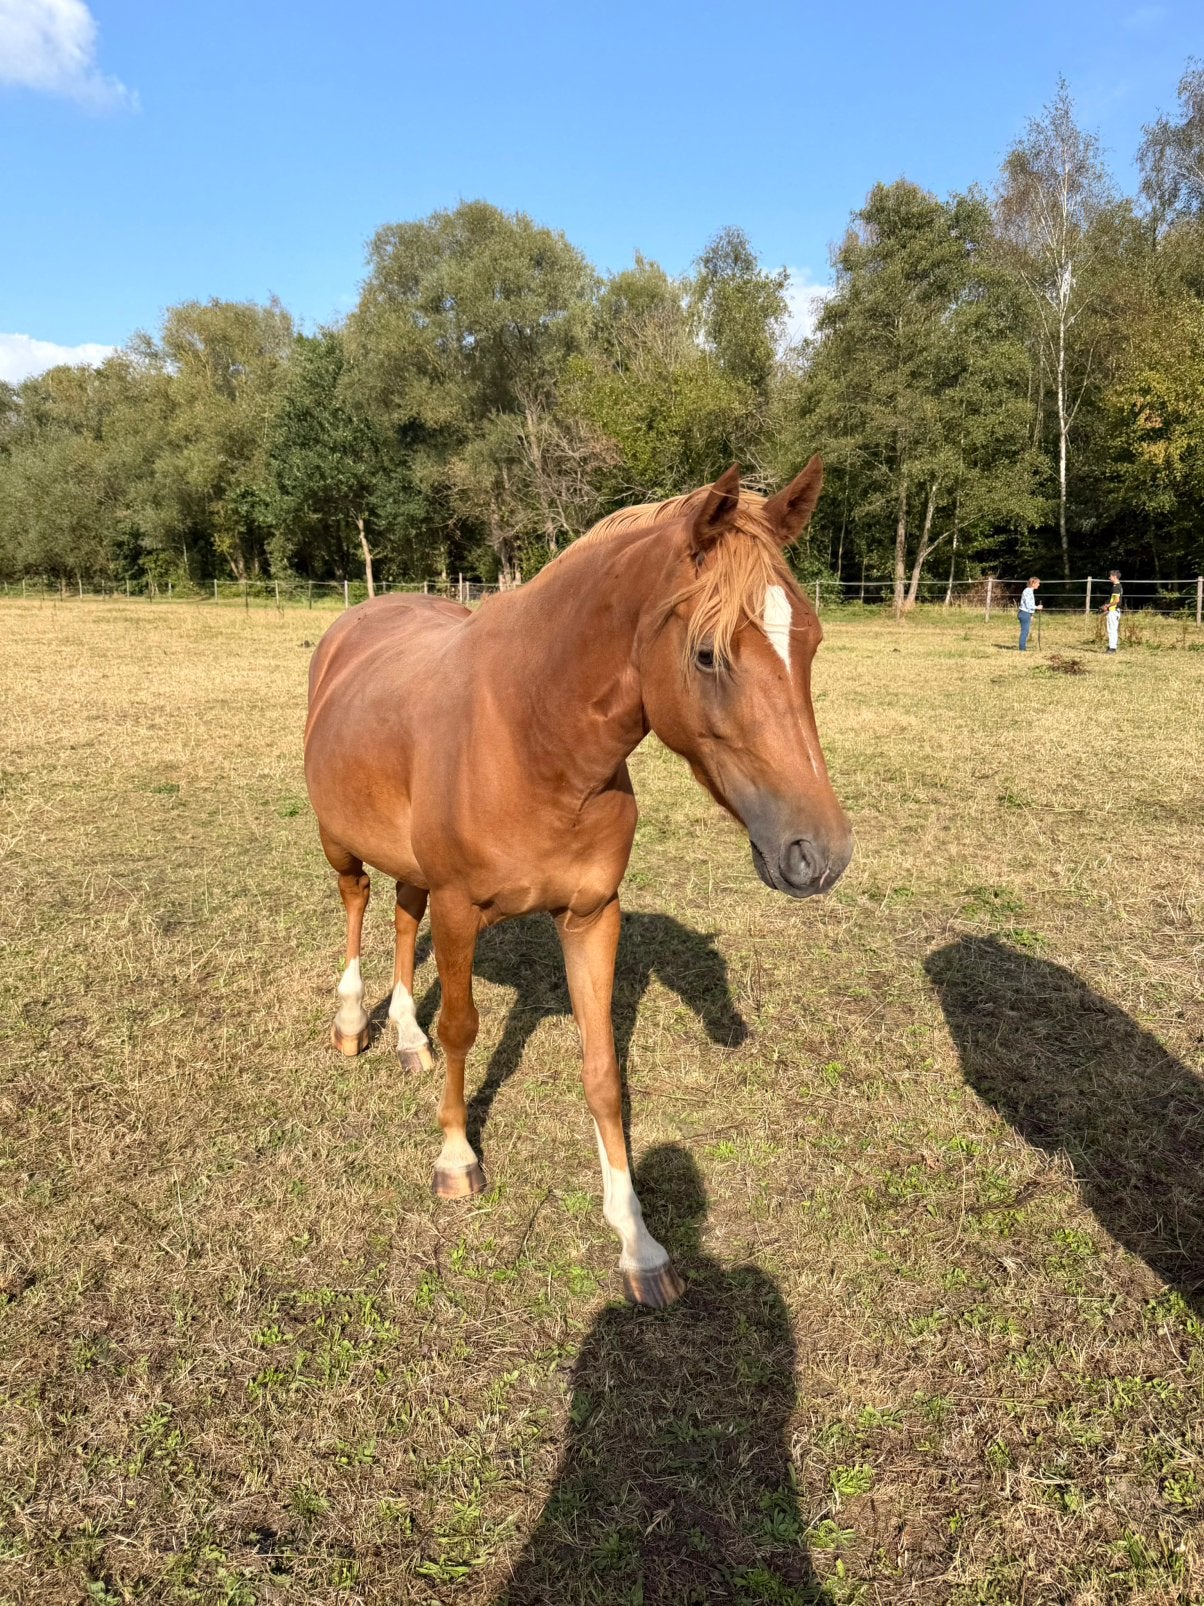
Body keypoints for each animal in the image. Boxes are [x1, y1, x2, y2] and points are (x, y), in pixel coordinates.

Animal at [303, 459, 852, 1307]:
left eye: (813, 642)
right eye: (706, 655)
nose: (818, 854)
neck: (532, 737)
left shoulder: (592, 916)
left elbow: (602, 1073)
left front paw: (638, 1242)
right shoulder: (460, 912)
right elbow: (463, 1029)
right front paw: (456, 1159)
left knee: (400, 915)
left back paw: (403, 1038)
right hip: (341, 846)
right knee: (359, 906)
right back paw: (350, 1022)